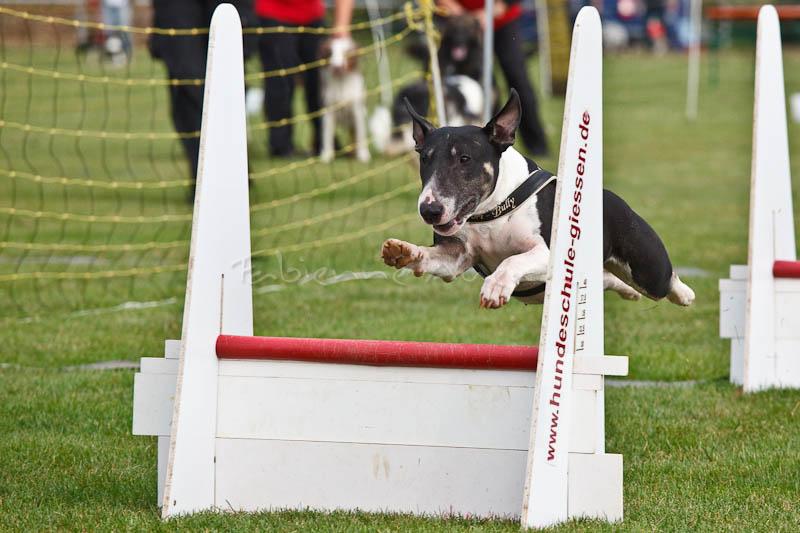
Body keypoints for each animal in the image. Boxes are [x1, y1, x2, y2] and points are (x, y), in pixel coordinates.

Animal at [382, 90, 692, 308]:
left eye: (465, 159)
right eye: (425, 159)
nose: (429, 211)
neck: (494, 211)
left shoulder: (547, 252)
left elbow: (512, 260)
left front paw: (495, 288)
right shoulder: (456, 258)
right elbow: (434, 259)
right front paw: (403, 251)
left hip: (649, 269)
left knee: (666, 280)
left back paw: (685, 294)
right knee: (610, 279)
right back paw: (630, 293)